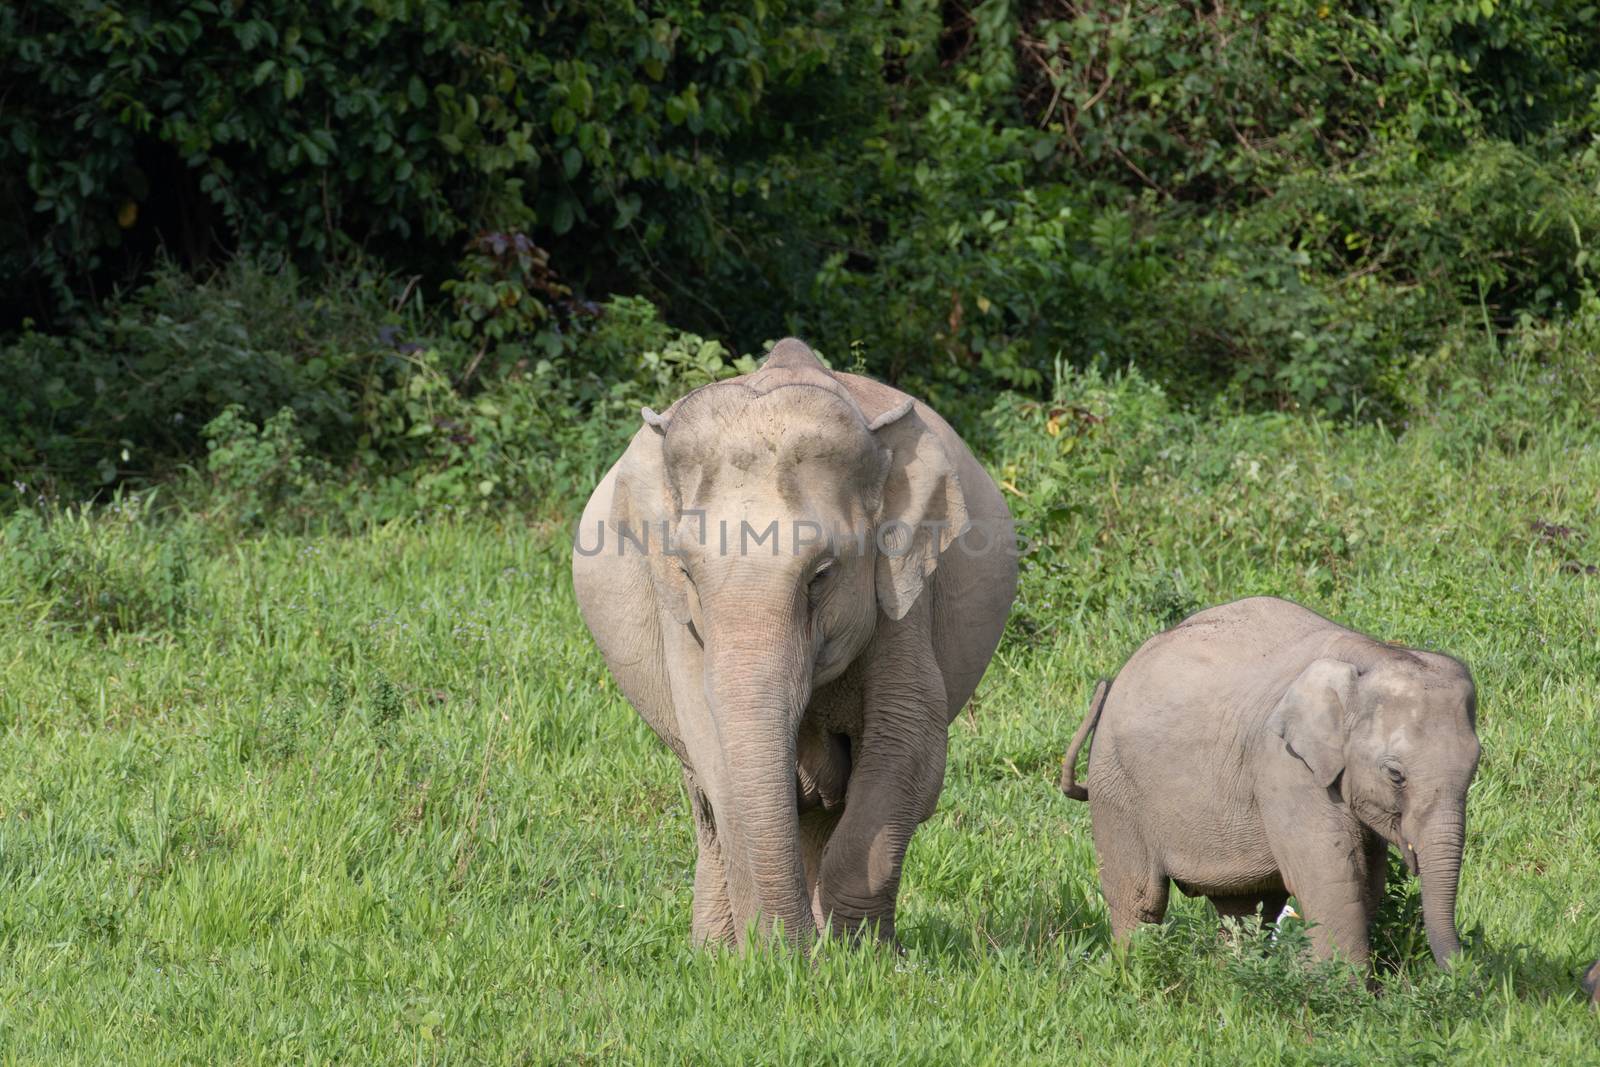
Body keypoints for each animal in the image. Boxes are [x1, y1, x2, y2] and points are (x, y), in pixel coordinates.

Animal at [572, 337, 1011, 947]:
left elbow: (908, 748)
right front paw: (768, 956)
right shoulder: (677, 619)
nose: (796, 956)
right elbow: (713, 750)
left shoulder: (905, 593)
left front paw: (856, 957)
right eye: (686, 571)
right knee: (709, 810)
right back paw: (710, 951)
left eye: (821, 574)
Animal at [1056, 598, 1478, 972]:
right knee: (1140, 899)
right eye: (1395, 774)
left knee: (1244, 907)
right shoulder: (1284, 766)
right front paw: (1343, 992)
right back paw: (1139, 974)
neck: (1372, 657)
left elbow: (1367, 879)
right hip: (1116, 785)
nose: (1461, 974)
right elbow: (1332, 875)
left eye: (1475, 769)